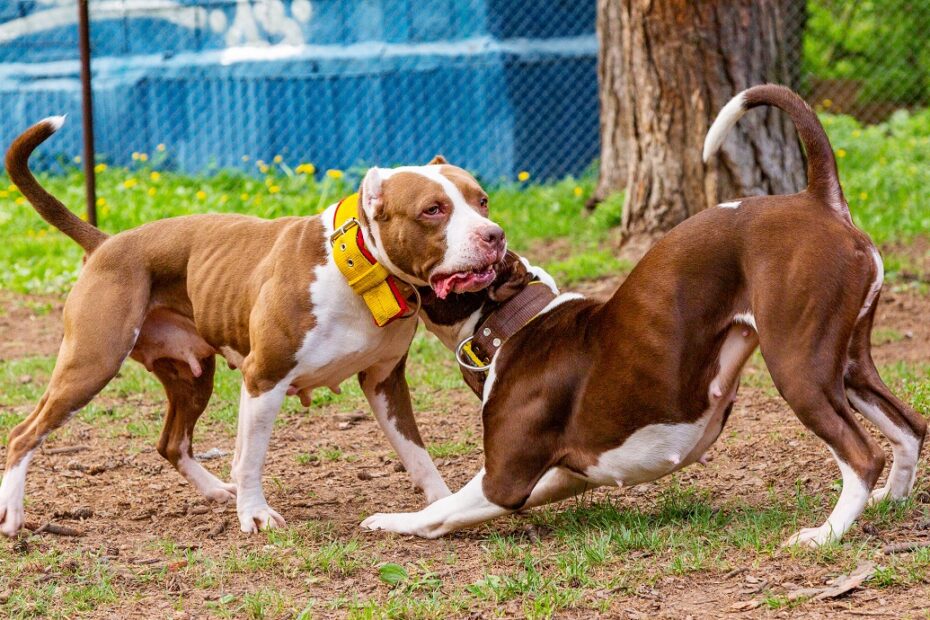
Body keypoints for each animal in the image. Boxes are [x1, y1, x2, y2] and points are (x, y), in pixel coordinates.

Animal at [3, 117, 504, 536]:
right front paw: (256, 514)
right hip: (93, 361)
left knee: (172, 442)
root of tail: (107, 242)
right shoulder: (264, 377)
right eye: (433, 210)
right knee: (24, 432)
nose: (494, 235)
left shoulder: (384, 381)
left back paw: (213, 492)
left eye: (481, 201)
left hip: (191, 375)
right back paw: (12, 515)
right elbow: (250, 459)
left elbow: (416, 454)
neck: (359, 269)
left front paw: (440, 502)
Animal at [360, 86, 920, 548]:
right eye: (440, 208)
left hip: (799, 366)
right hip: (848, 363)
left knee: (862, 454)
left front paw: (388, 520)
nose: (369, 198)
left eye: (461, 206)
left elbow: (435, 514)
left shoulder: (503, 479)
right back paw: (892, 501)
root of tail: (818, 200)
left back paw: (825, 534)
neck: (514, 318)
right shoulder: (562, 473)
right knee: (910, 426)